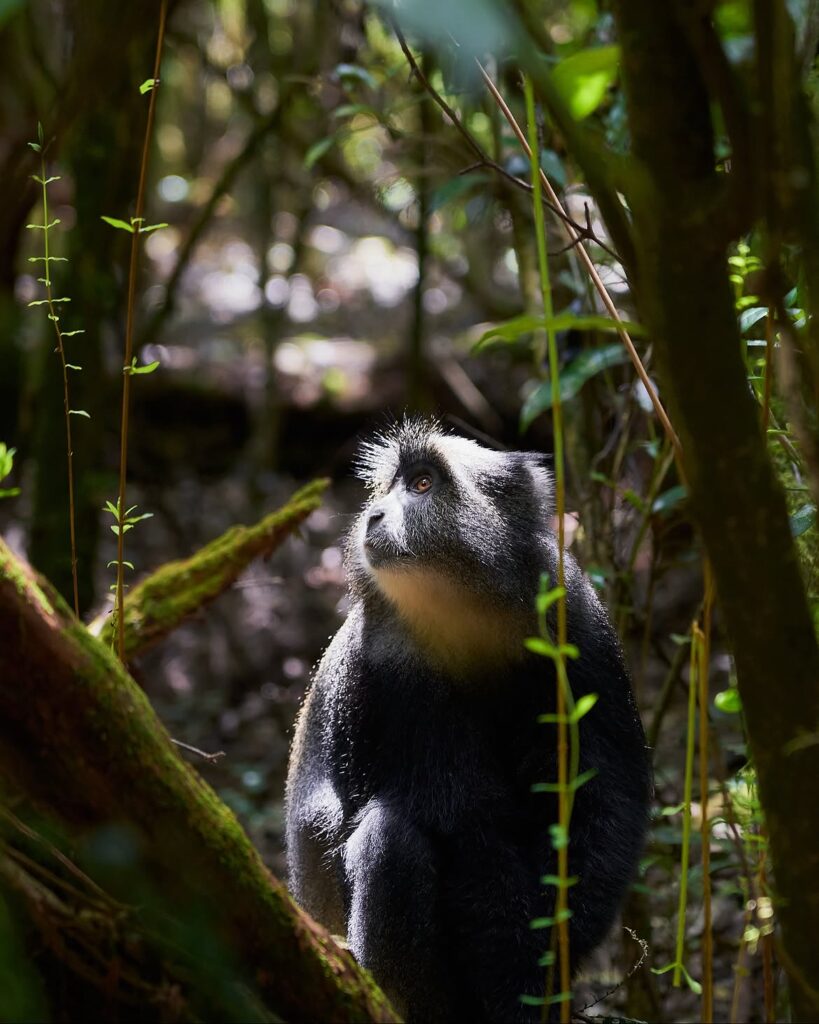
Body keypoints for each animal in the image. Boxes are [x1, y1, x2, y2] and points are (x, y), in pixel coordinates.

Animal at [285, 418, 652, 1023]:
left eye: (423, 483)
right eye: (390, 486)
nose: (374, 515)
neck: (464, 610)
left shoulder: (576, 623)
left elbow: (605, 798)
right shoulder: (391, 665)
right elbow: (462, 817)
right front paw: (515, 977)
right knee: (391, 841)